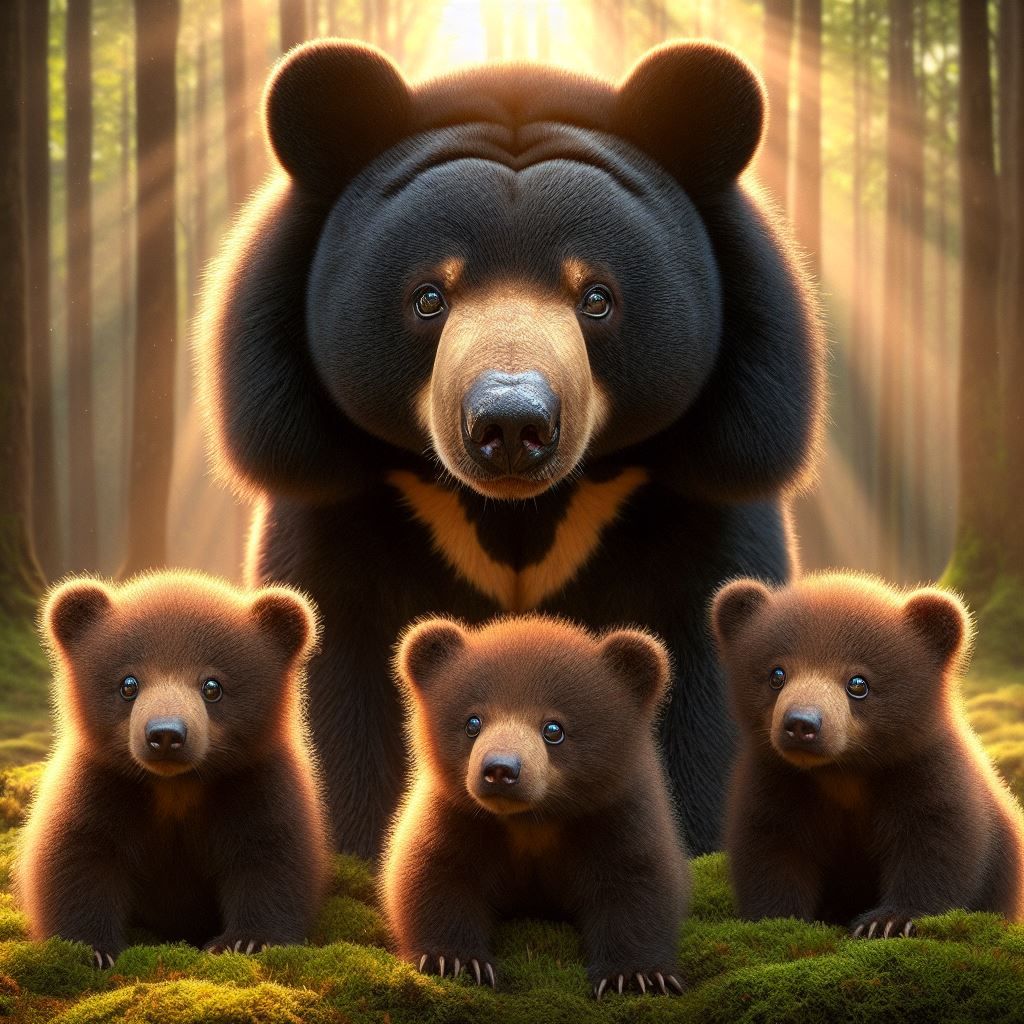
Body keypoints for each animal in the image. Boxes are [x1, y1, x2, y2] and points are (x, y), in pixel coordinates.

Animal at [16, 571, 331, 966]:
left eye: (212, 686)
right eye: (129, 684)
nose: (165, 734)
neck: (175, 786)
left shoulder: (255, 782)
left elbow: (272, 854)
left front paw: (246, 941)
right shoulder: (101, 783)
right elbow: (78, 855)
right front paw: (92, 949)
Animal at [195, 37, 825, 859]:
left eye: (597, 298)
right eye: (429, 297)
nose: (512, 425)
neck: (516, 511)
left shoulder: (706, 483)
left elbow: (705, 668)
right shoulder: (334, 489)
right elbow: (337, 675)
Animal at [381, 615, 690, 998]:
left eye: (553, 729)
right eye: (473, 722)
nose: (500, 770)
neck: (532, 821)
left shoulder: (616, 812)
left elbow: (638, 879)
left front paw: (638, 976)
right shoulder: (456, 813)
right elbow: (435, 872)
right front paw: (453, 960)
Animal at [711, 573, 1024, 936]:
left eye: (858, 683)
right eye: (777, 674)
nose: (801, 724)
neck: (843, 772)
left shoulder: (925, 768)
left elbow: (938, 841)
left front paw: (887, 922)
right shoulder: (776, 779)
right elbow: (770, 845)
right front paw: (778, 920)